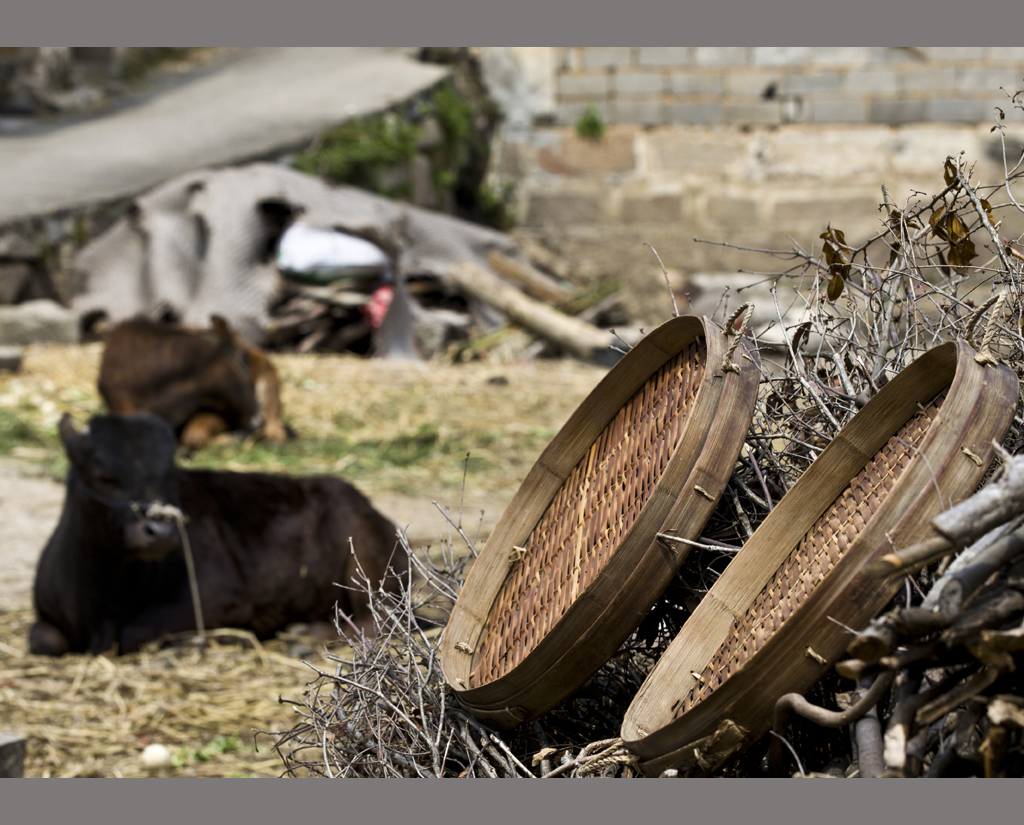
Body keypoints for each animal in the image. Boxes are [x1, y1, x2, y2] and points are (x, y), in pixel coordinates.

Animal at [29, 413, 403, 659]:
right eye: (102, 475)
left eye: (168, 474)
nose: (161, 532)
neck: (99, 601)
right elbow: (43, 641)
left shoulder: (222, 601)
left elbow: (133, 633)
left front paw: (217, 642)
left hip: (368, 561)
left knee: (383, 622)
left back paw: (305, 637)